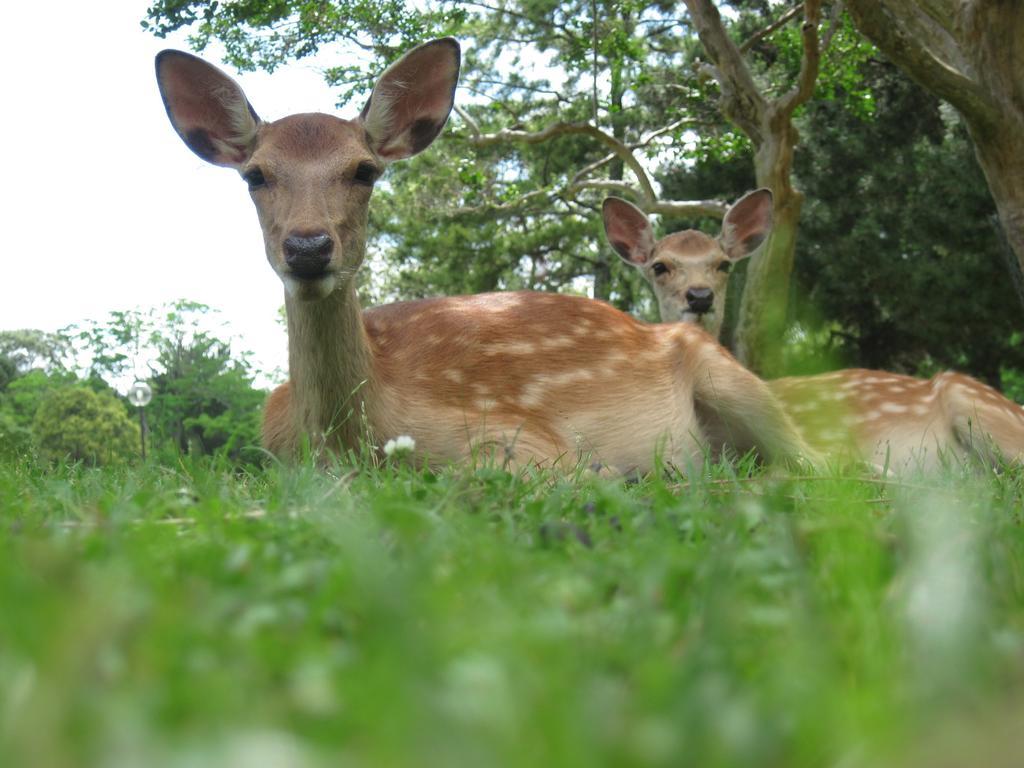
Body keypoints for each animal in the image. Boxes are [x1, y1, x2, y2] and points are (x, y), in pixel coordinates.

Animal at [153, 41, 823, 479]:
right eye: (255, 175)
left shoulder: (516, 431)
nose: (309, 248)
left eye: (365, 170)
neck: (353, 439)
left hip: (732, 377)